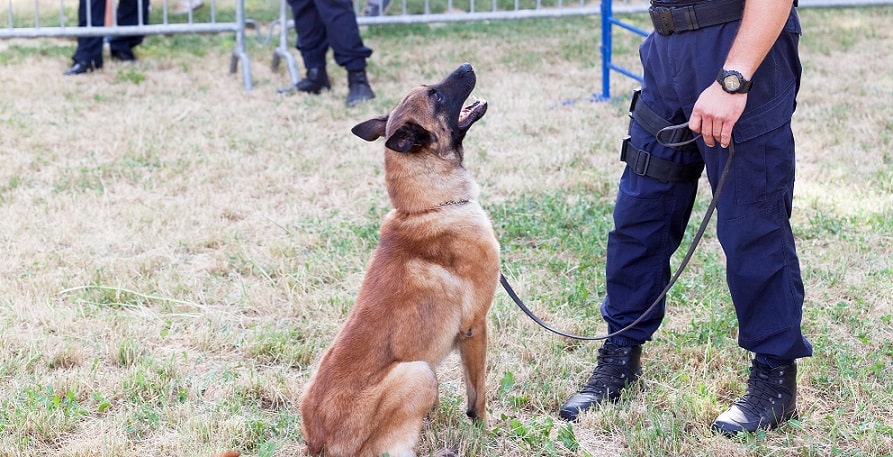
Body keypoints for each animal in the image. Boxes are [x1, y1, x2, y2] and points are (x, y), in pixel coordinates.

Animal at [298, 61, 494, 456]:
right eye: (435, 95)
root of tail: (317, 446)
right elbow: (477, 393)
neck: (427, 208)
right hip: (417, 372)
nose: (467, 65)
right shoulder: (475, 327)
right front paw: (485, 429)